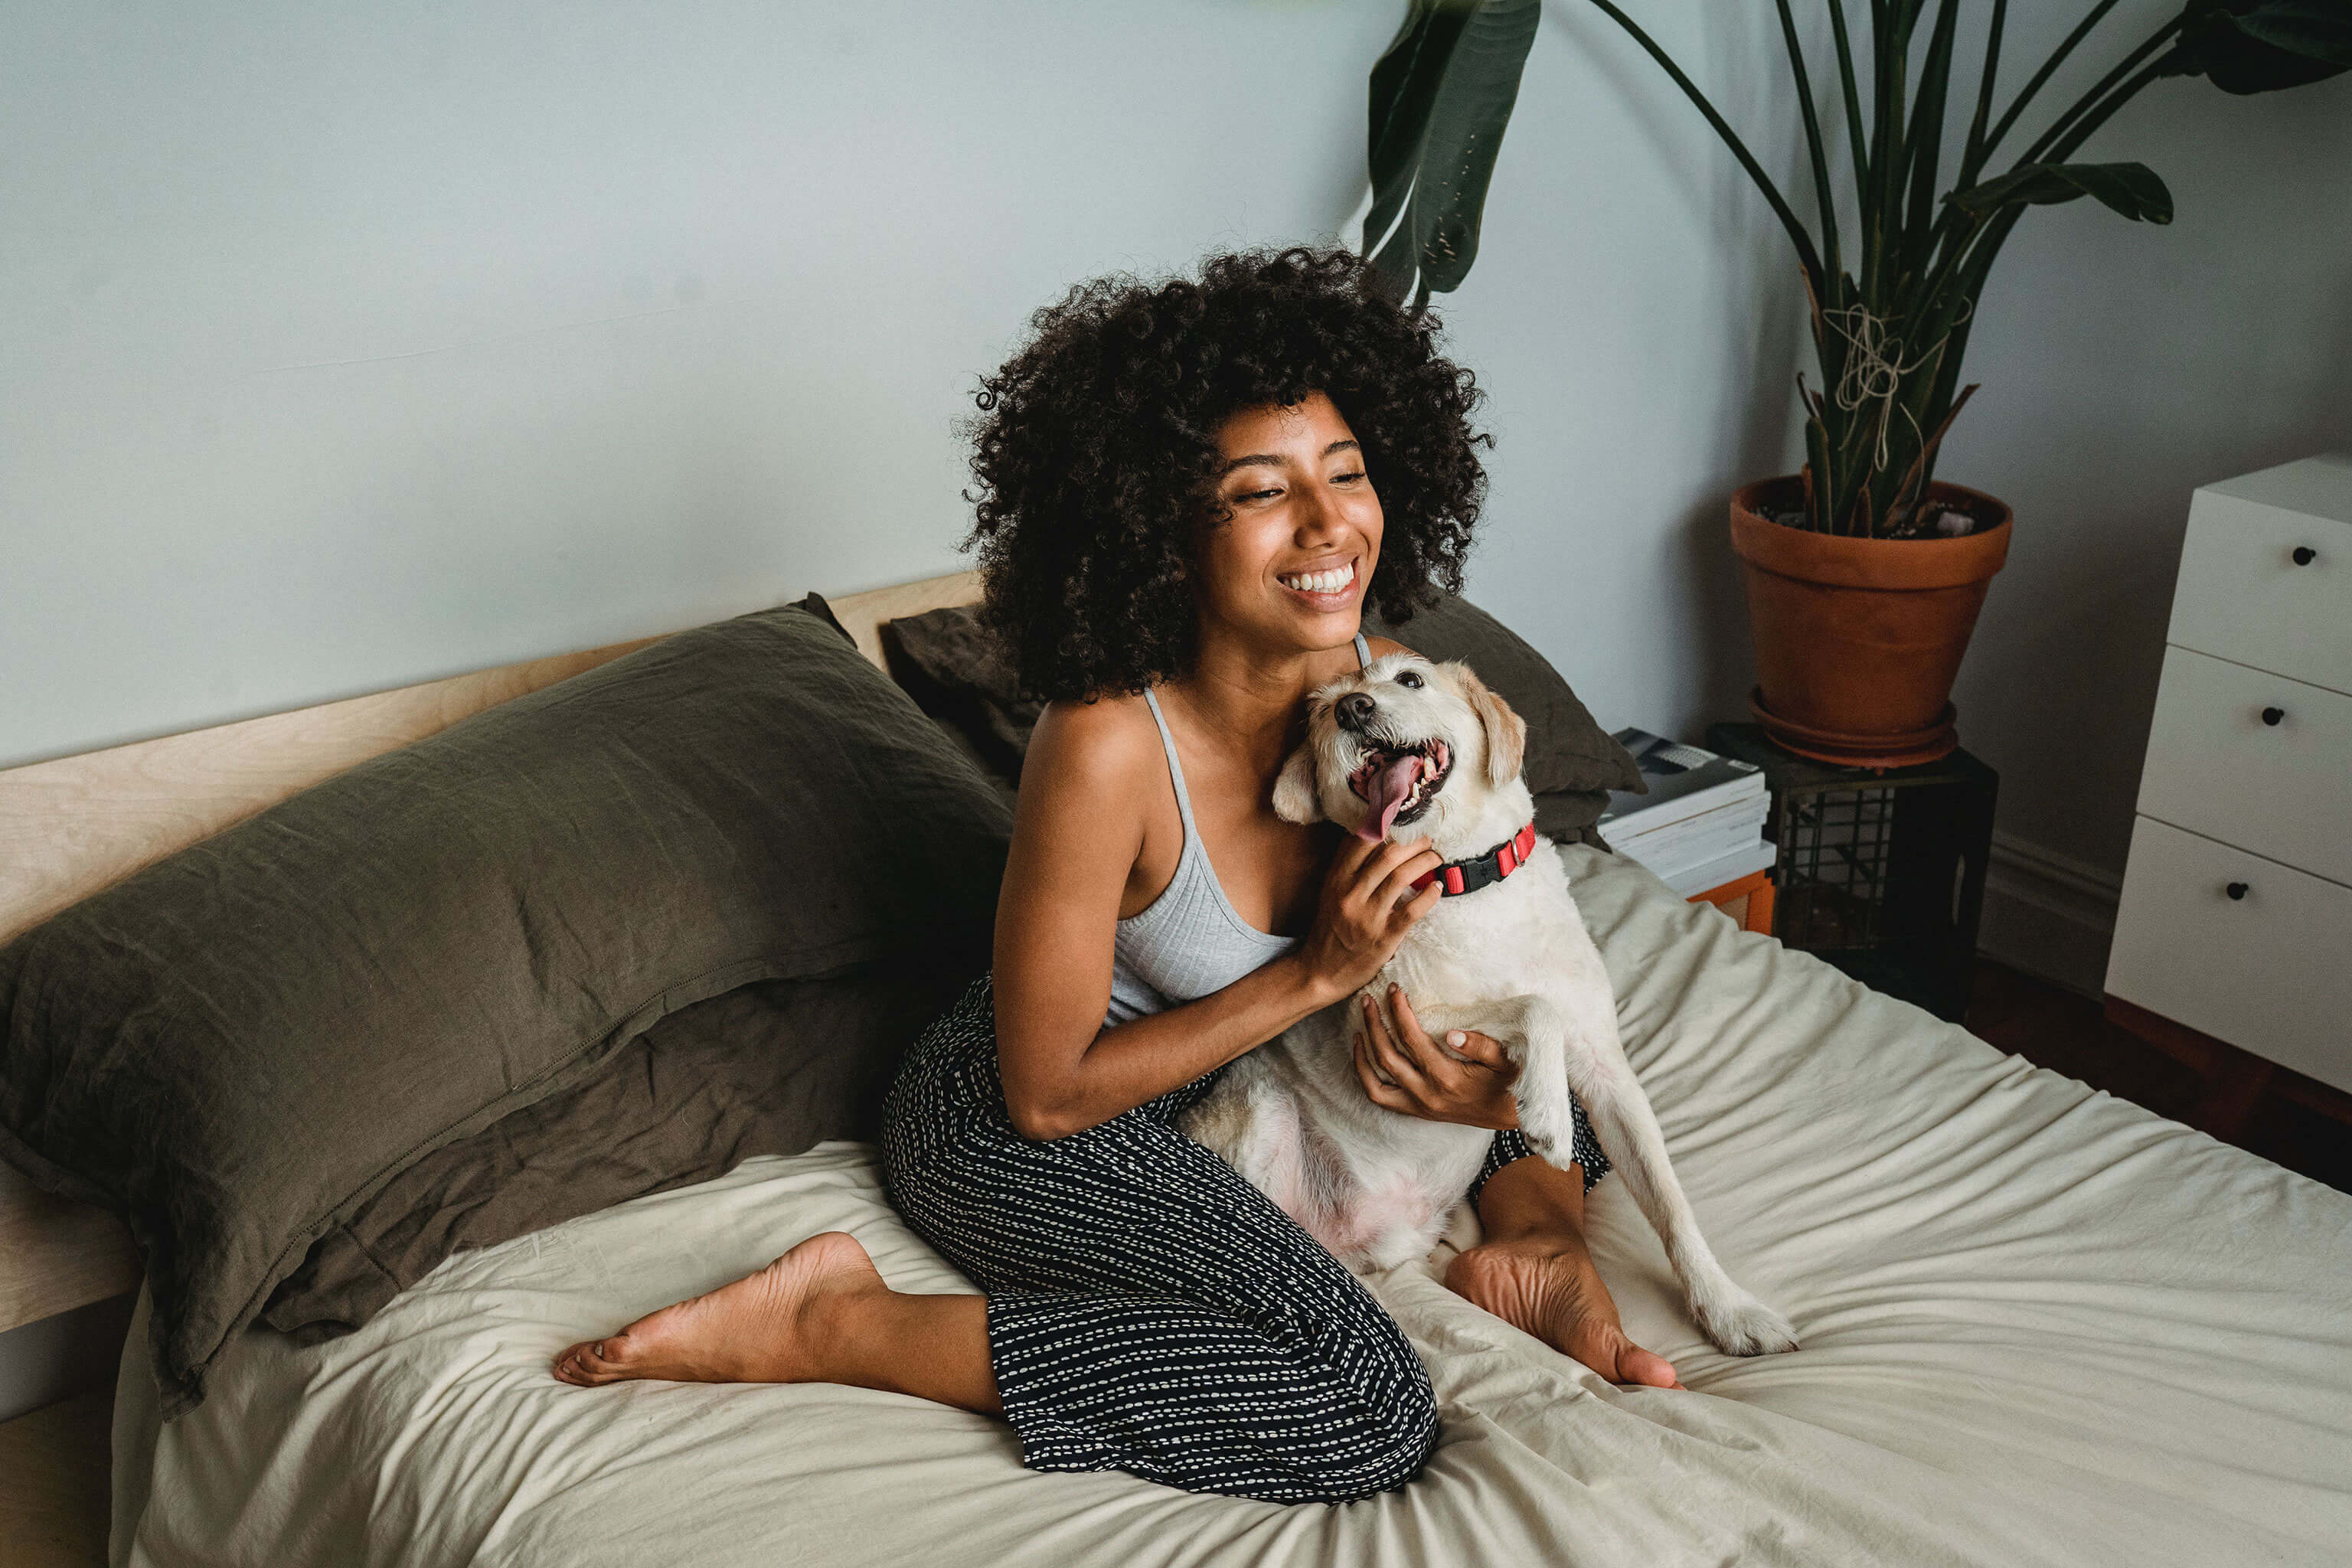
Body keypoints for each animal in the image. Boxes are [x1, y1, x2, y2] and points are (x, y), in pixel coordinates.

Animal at [1176, 648, 1797, 1363]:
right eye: (1322, 712)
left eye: (1409, 680)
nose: (1352, 708)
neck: (1468, 884)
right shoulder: (1396, 1018)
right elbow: (1533, 1009)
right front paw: (1547, 1112)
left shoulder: (1607, 1070)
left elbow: (1670, 1201)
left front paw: (1727, 1309)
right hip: (1262, 1112)